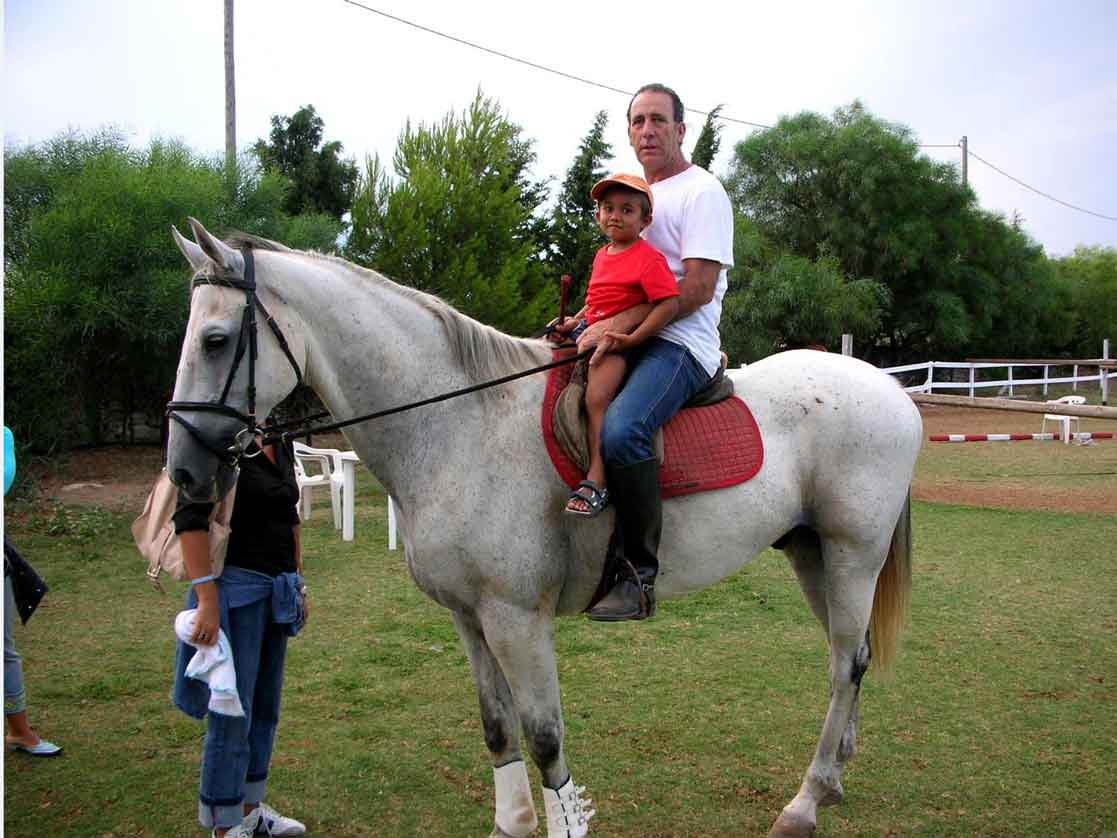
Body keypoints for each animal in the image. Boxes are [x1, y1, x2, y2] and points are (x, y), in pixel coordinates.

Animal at [165, 221, 924, 838]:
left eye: (216, 340)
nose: (184, 473)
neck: (459, 424)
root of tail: (890, 388)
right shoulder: (468, 617)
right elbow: (497, 727)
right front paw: (512, 823)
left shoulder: (516, 620)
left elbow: (544, 737)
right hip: (810, 553)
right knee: (847, 657)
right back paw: (833, 777)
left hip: (852, 555)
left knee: (844, 664)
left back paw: (804, 801)